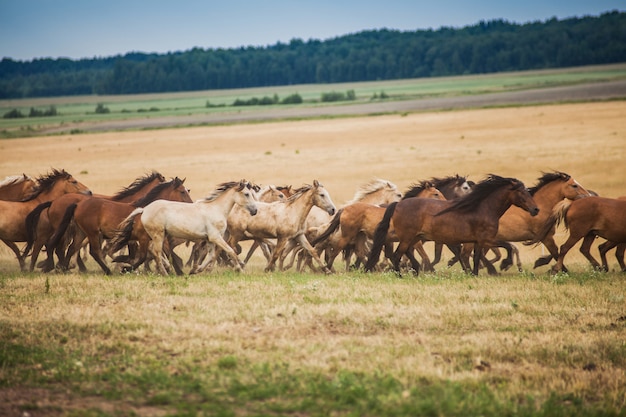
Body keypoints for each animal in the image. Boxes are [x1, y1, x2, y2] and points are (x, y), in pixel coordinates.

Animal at [25, 171, 166, 272]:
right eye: (73, 181)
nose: (89, 191)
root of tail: (53, 202)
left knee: (62, 247)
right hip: (71, 232)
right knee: (59, 247)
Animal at [109, 180, 256, 274]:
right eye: (247, 194)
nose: (255, 211)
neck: (215, 209)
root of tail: (144, 209)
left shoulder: (210, 239)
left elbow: (211, 256)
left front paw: (195, 270)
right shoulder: (216, 237)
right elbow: (231, 251)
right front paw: (240, 269)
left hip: (155, 236)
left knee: (151, 252)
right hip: (158, 235)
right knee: (156, 252)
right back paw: (165, 272)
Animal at [366, 176, 536, 276]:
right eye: (522, 192)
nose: (535, 209)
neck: (483, 208)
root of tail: (397, 204)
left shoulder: (477, 241)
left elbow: (475, 257)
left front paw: (474, 273)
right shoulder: (487, 239)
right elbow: (508, 247)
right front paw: (504, 265)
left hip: (413, 237)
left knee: (404, 253)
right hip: (408, 237)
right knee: (396, 255)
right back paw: (401, 274)